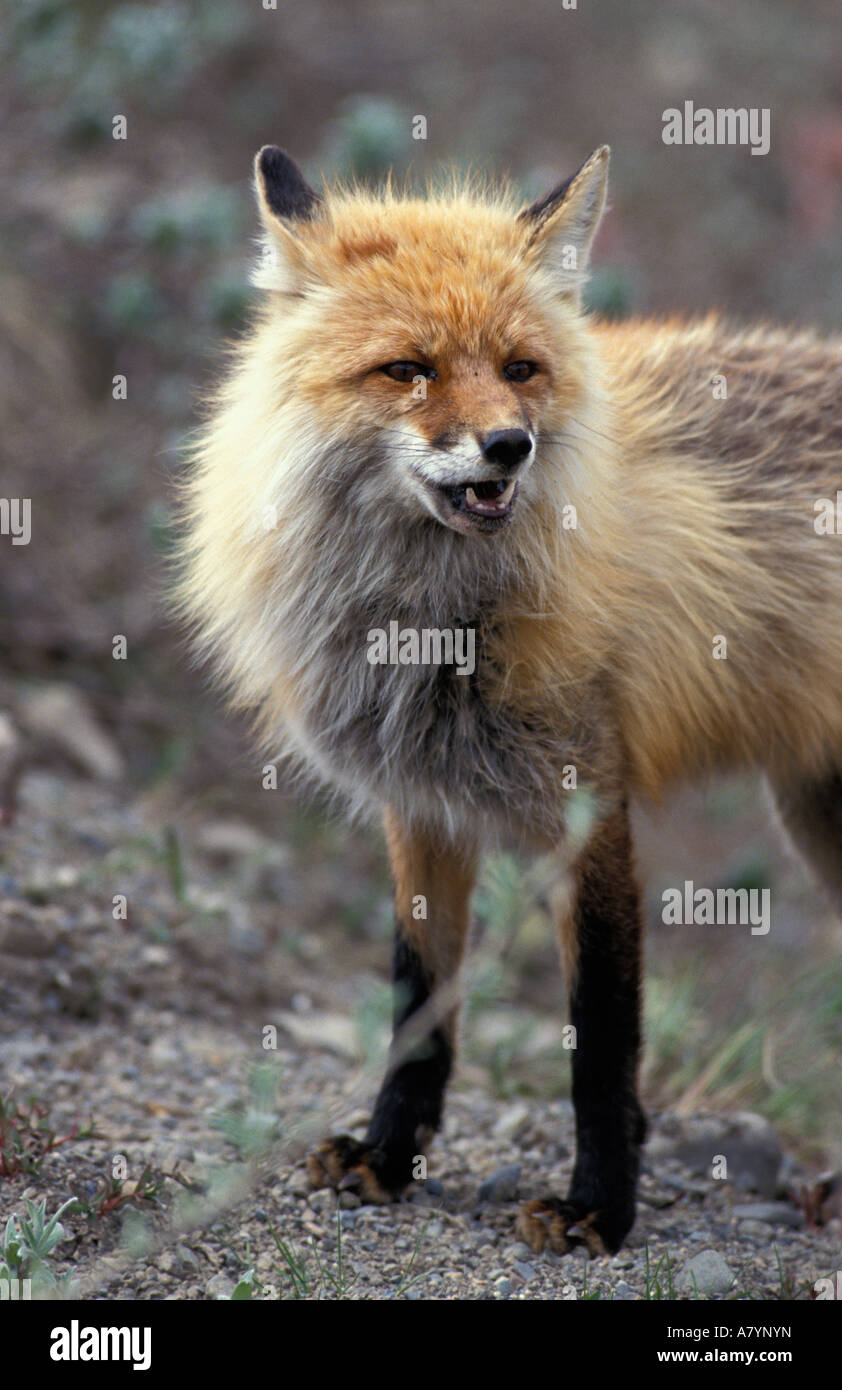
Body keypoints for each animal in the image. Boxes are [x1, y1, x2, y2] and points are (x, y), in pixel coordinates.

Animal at [175, 146, 839, 1256]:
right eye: (409, 369)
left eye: (521, 369)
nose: (506, 447)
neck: (431, 624)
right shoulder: (419, 803)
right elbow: (417, 1008)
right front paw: (387, 1157)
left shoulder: (589, 805)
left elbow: (600, 1042)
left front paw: (598, 1208)